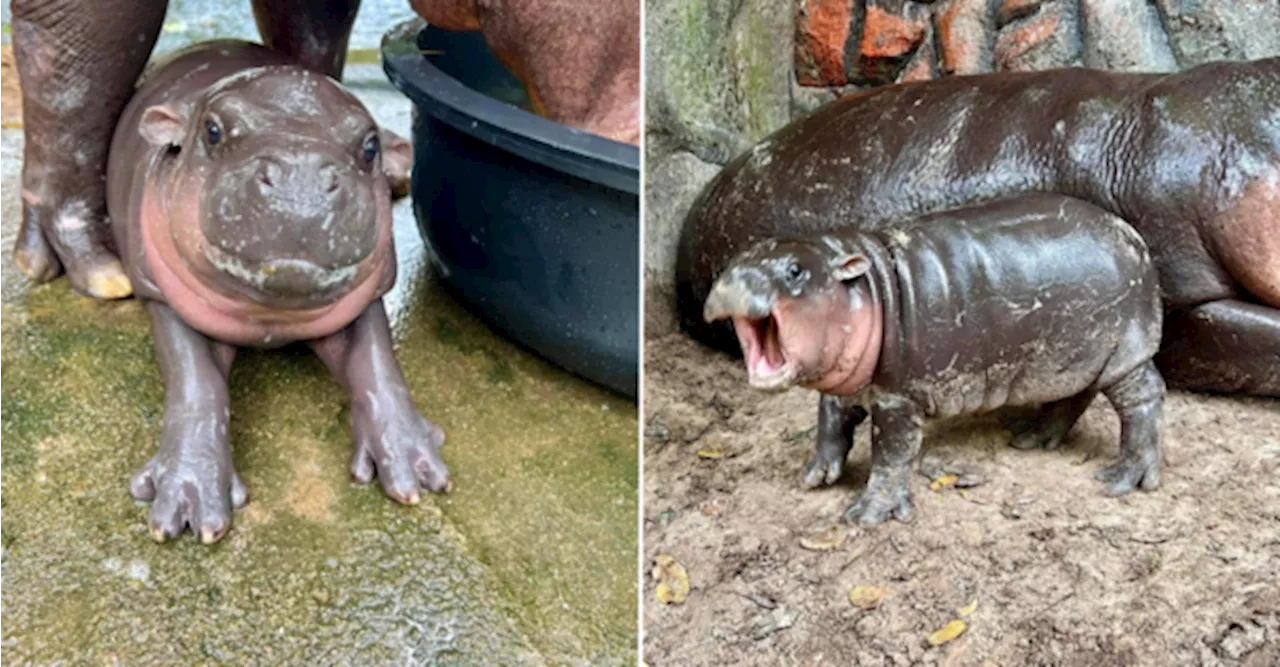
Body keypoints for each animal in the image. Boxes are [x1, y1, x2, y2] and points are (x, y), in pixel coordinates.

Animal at [706, 194, 1167, 522]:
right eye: (734, 261)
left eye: (795, 270)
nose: (732, 281)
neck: (867, 286)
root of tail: (1132, 234)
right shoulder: (846, 380)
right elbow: (831, 419)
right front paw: (816, 475)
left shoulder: (898, 397)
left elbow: (891, 452)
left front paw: (867, 515)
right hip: (1070, 358)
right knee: (1075, 396)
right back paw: (1031, 436)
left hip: (1125, 353)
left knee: (1144, 397)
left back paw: (1123, 479)